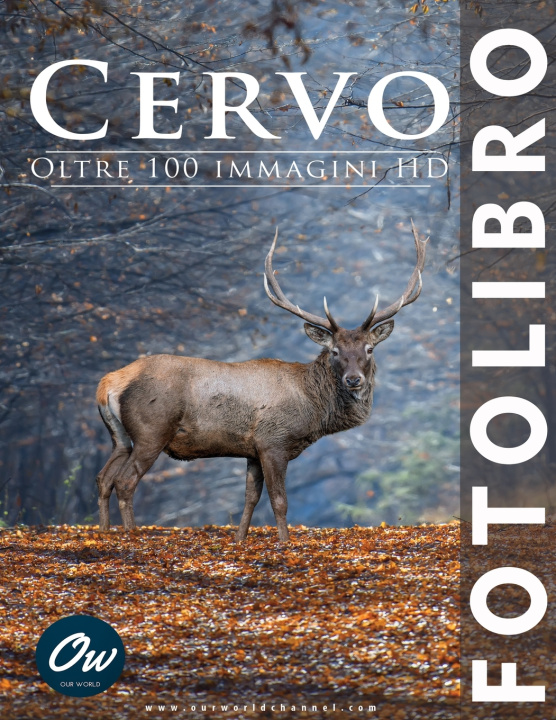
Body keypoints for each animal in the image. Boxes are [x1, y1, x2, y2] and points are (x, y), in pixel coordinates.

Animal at [95, 222, 427, 541]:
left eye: (369, 349)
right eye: (335, 351)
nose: (354, 379)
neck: (313, 407)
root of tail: (108, 384)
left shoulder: (251, 450)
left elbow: (250, 498)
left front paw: (239, 540)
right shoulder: (273, 441)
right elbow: (279, 501)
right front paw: (284, 543)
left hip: (120, 437)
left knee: (103, 478)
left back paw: (104, 533)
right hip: (151, 430)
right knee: (125, 481)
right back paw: (131, 535)